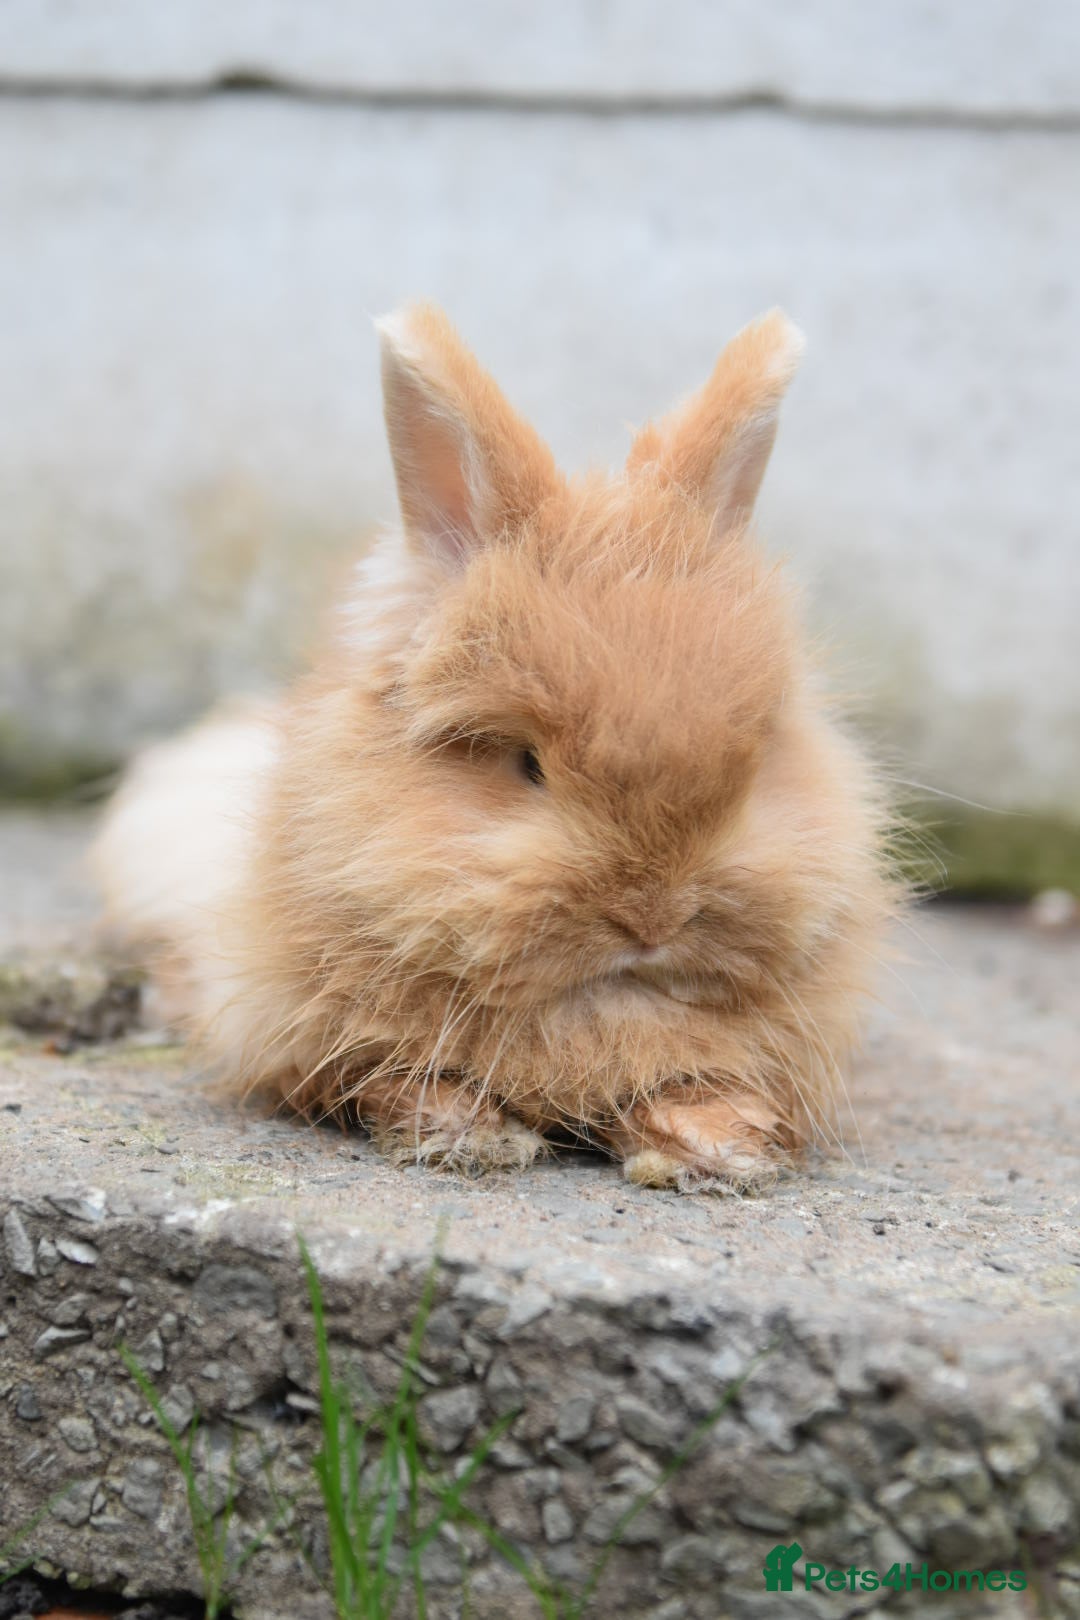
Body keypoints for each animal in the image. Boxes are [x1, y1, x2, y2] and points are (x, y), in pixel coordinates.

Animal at [93, 303, 894, 1191]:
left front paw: (714, 1151)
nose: (653, 917)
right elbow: (395, 1075)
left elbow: (695, 1080)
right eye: (527, 765)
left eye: (750, 769)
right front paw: (468, 1138)